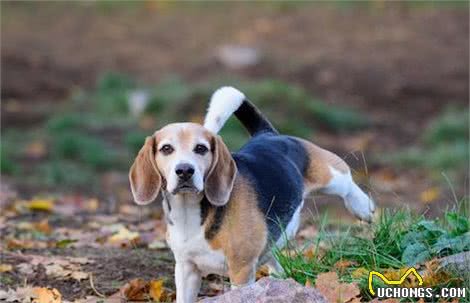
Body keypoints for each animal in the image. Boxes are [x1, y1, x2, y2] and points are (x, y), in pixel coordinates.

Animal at [129, 86, 374, 302]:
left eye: (201, 148)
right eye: (166, 149)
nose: (185, 170)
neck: (191, 211)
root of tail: (267, 135)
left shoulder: (241, 270)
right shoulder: (186, 269)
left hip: (330, 175)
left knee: (347, 180)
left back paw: (363, 207)